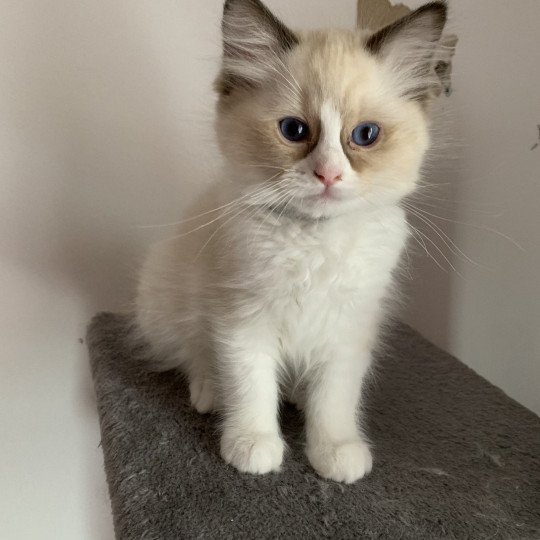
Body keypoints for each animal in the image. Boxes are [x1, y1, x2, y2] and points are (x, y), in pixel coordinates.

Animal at [135, 0, 448, 480]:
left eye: (365, 135)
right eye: (294, 131)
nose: (329, 175)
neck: (313, 241)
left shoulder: (348, 330)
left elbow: (334, 400)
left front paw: (335, 451)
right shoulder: (242, 322)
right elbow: (251, 386)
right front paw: (252, 445)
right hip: (165, 299)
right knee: (194, 355)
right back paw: (210, 393)